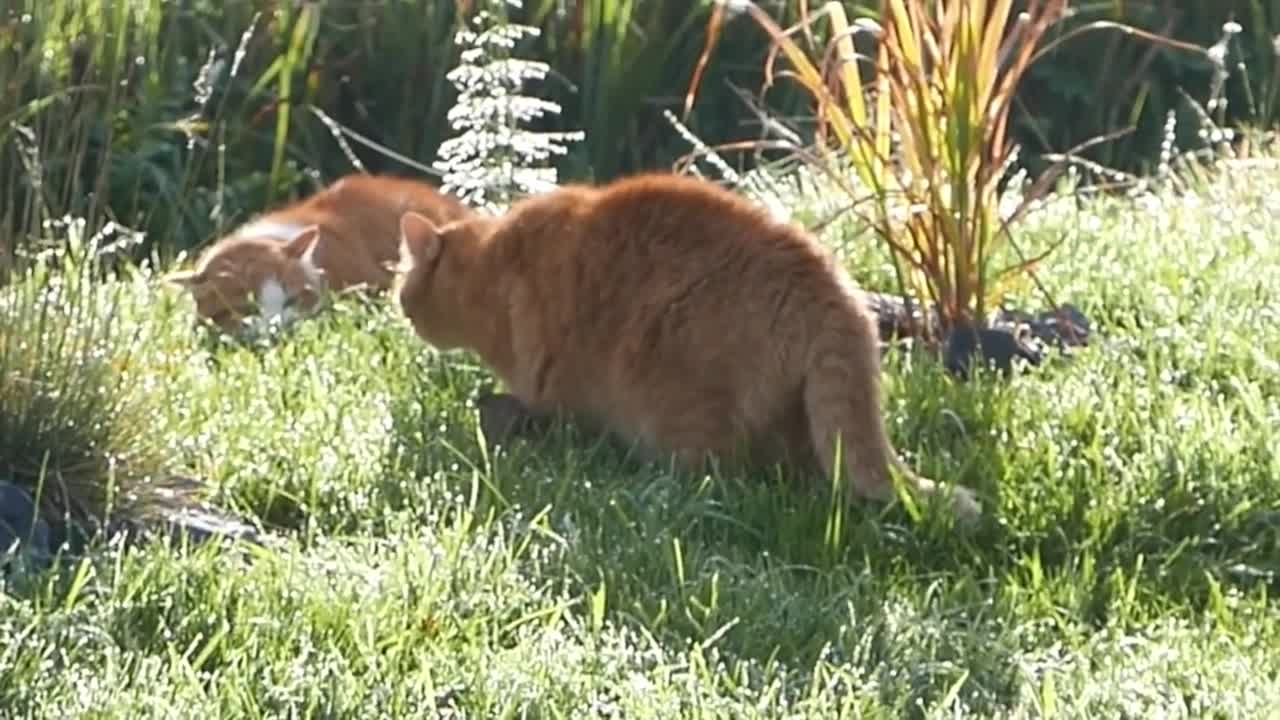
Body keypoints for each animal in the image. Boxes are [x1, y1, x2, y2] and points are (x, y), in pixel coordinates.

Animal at [394, 170, 983, 517]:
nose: (400, 311)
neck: (495, 265)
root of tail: (833, 293)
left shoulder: (549, 384)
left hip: (682, 401)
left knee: (722, 475)